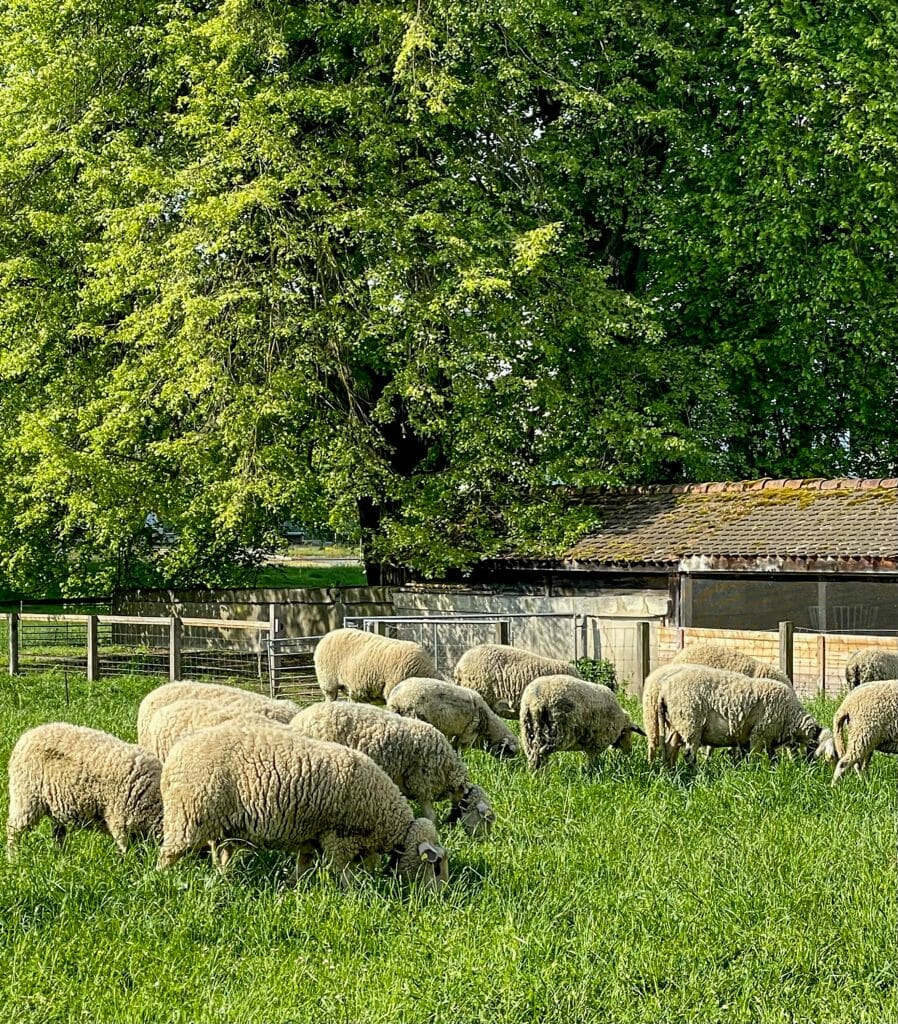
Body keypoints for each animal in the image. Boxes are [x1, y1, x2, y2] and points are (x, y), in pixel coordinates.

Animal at [7, 723, 162, 857]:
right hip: (25, 796)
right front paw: (128, 867)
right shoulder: (120, 823)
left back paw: (61, 857)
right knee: (13, 830)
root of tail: (28, 734)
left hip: (52, 804)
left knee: (58, 833)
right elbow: (128, 851)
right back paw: (13, 858)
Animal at [157, 722, 448, 889]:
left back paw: (224, 879)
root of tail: (176, 752)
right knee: (168, 853)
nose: (441, 895)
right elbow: (343, 869)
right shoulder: (337, 836)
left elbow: (304, 864)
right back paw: (161, 880)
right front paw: (355, 892)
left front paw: (292, 885)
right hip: (188, 815)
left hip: (222, 826)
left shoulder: (312, 837)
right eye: (435, 867)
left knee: (221, 854)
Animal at [290, 701, 495, 837]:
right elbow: (430, 815)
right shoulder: (421, 782)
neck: (447, 770)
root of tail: (297, 720)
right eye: (484, 818)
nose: (483, 840)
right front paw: (436, 829)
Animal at [385, 677, 519, 758]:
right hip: (413, 716)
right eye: (510, 752)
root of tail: (396, 697)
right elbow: (460, 752)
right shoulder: (467, 735)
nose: (511, 768)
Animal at [653, 666, 823, 766]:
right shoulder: (760, 734)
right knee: (689, 754)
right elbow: (755, 757)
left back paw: (670, 770)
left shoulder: (765, 737)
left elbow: (771, 757)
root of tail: (664, 691)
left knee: (670, 747)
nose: (811, 768)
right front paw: (755, 771)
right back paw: (694, 771)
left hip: (676, 724)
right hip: (690, 724)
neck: (790, 715)